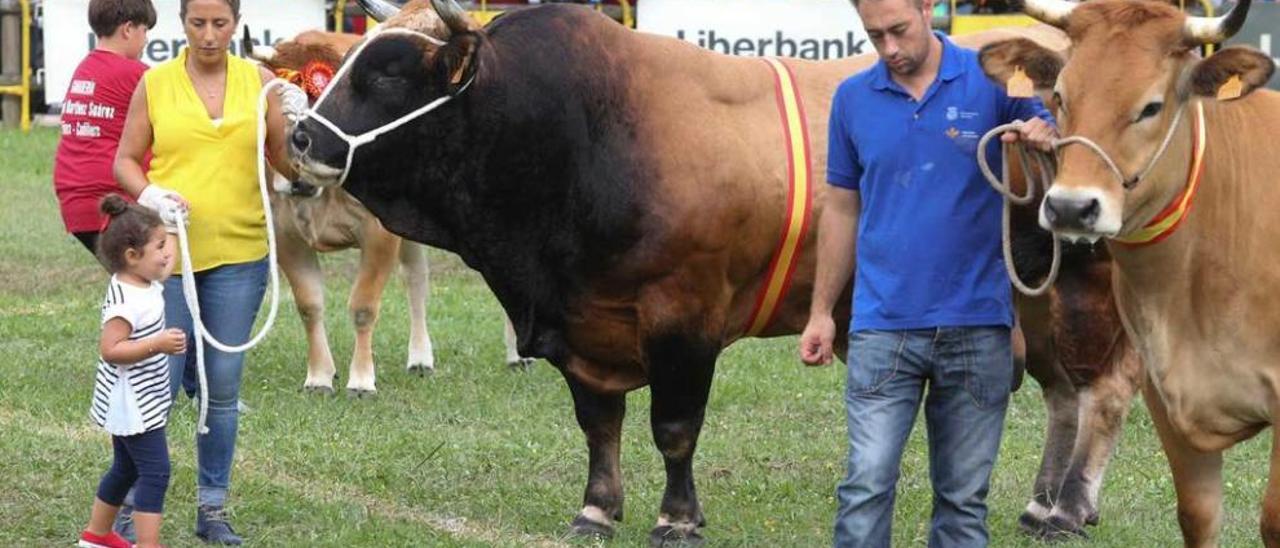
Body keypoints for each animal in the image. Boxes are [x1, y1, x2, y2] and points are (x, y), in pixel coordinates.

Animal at [293, 0, 1152, 540]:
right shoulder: (584, 325)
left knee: (1105, 393)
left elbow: (674, 428)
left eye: (389, 73)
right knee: (1063, 394)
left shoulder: (684, 315)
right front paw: (597, 509)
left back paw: (1070, 509)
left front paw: (676, 517)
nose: (302, 137)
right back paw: (1042, 506)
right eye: (344, 67)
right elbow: (598, 424)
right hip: (1033, 296)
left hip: (1094, 286)